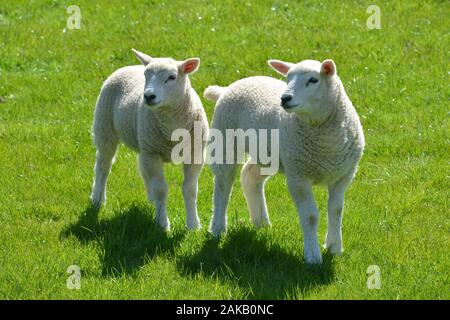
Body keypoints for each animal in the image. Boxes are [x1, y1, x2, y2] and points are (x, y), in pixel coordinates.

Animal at [91, 48, 207, 231]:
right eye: (146, 75)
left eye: (172, 77)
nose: (148, 96)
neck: (172, 127)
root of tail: (129, 66)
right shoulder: (153, 154)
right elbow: (161, 190)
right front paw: (162, 224)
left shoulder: (195, 154)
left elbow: (190, 189)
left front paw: (193, 225)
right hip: (105, 128)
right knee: (103, 165)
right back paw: (97, 198)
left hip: (143, 141)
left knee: (141, 166)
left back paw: (150, 199)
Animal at [204, 58, 366, 264]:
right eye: (287, 78)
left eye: (313, 80)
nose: (285, 99)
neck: (325, 141)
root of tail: (226, 89)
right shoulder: (298, 176)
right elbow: (311, 216)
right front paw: (313, 256)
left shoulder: (343, 175)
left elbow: (336, 210)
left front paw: (334, 247)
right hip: (225, 140)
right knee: (223, 186)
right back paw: (217, 228)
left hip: (266, 154)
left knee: (249, 177)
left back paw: (261, 223)